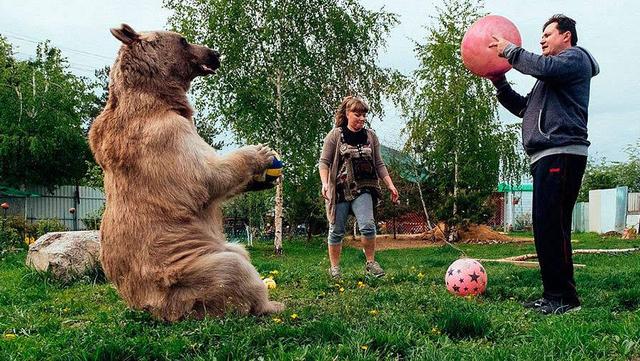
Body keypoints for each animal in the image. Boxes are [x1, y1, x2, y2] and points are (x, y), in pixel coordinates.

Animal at [88, 23, 284, 320]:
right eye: (183, 40)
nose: (215, 53)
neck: (159, 97)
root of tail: (150, 307)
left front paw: (260, 181)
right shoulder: (165, 137)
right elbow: (205, 176)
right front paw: (259, 153)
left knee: (239, 250)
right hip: (186, 275)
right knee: (233, 269)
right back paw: (269, 303)